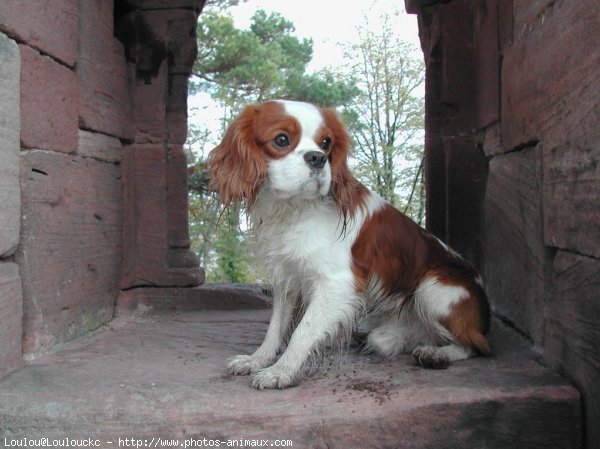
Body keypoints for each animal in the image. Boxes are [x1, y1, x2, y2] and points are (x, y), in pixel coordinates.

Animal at [209, 100, 490, 386]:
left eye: (326, 143)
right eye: (282, 140)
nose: (318, 158)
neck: (295, 208)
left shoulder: (337, 284)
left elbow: (302, 330)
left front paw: (282, 371)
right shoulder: (288, 276)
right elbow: (276, 326)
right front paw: (257, 359)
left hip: (432, 288)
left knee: (476, 346)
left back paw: (436, 355)